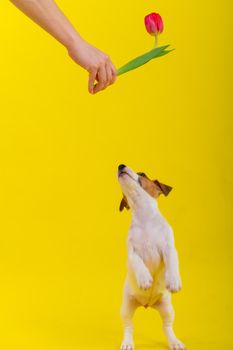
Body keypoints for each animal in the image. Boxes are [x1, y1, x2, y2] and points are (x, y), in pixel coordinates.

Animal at [117, 165, 187, 350]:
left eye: (142, 174)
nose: (120, 165)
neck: (144, 218)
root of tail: (147, 304)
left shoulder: (169, 248)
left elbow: (172, 262)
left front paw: (173, 281)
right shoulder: (132, 253)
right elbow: (138, 263)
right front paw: (144, 278)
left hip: (167, 307)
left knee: (167, 326)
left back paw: (174, 342)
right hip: (126, 307)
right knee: (128, 326)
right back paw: (127, 343)